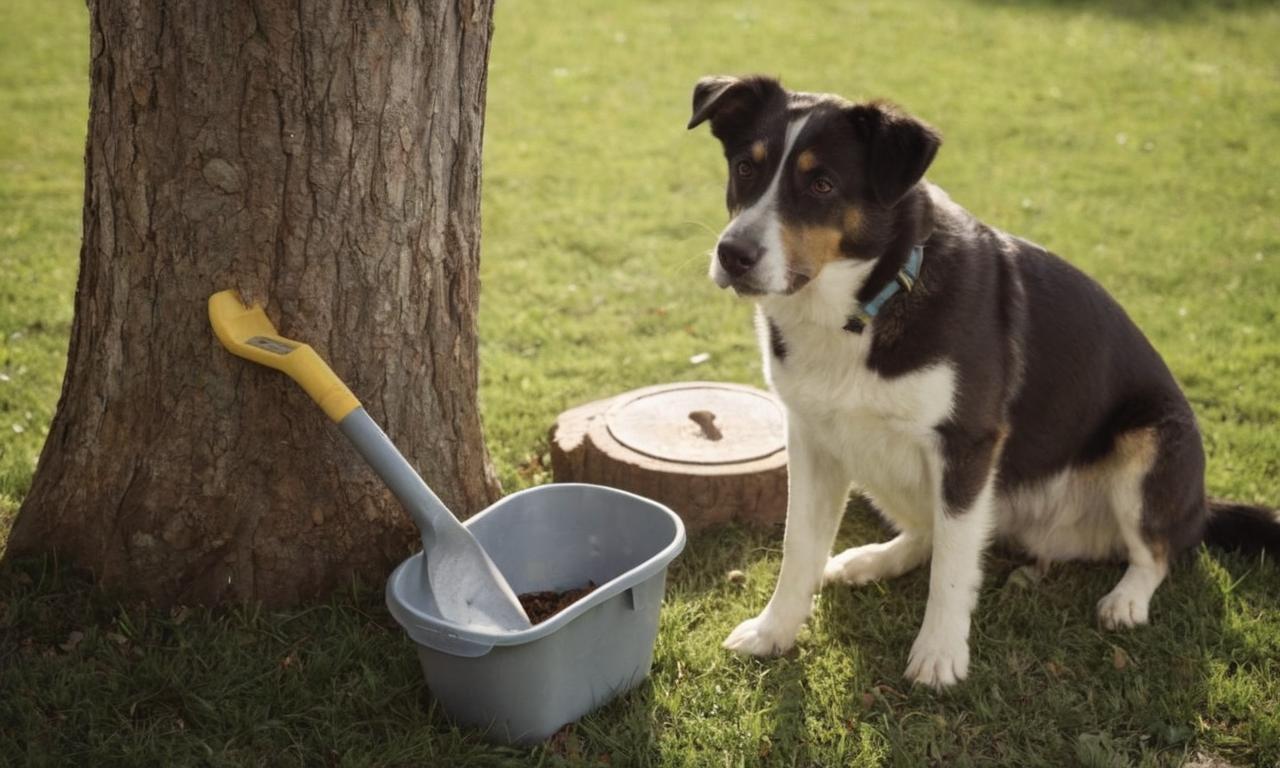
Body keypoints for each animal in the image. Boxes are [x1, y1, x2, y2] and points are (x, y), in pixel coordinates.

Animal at [686, 76, 1280, 691]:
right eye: (746, 168)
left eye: (822, 183)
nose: (733, 254)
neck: (862, 310)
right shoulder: (812, 439)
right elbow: (798, 547)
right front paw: (773, 632)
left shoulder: (967, 445)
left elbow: (952, 567)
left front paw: (940, 655)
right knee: (926, 533)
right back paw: (871, 560)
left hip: (1150, 443)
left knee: (1158, 551)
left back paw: (1127, 600)